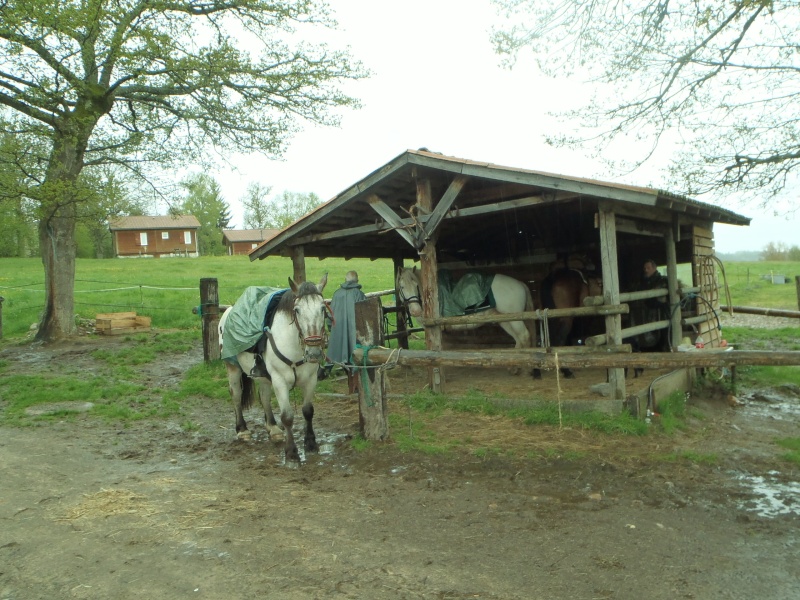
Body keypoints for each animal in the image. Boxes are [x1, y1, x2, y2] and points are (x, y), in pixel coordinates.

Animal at [219, 274, 328, 462]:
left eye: (322, 308)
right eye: (297, 310)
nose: (314, 351)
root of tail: (229, 310)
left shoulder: (310, 379)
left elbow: (308, 411)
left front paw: (311, 444)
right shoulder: (279, 380)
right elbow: (287, 417)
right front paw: (291, 454)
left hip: (263, 376)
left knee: (264, 396)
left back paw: (273, 428)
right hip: (232, 368)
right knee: (236, 395)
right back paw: (242, 430)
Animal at [396, 268, 536, 352]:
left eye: (416, 286)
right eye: (402, 287)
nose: (416, 311)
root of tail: (520, 284)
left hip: (515, 320)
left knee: (524, 336)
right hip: (505, 320)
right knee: (518, 339)